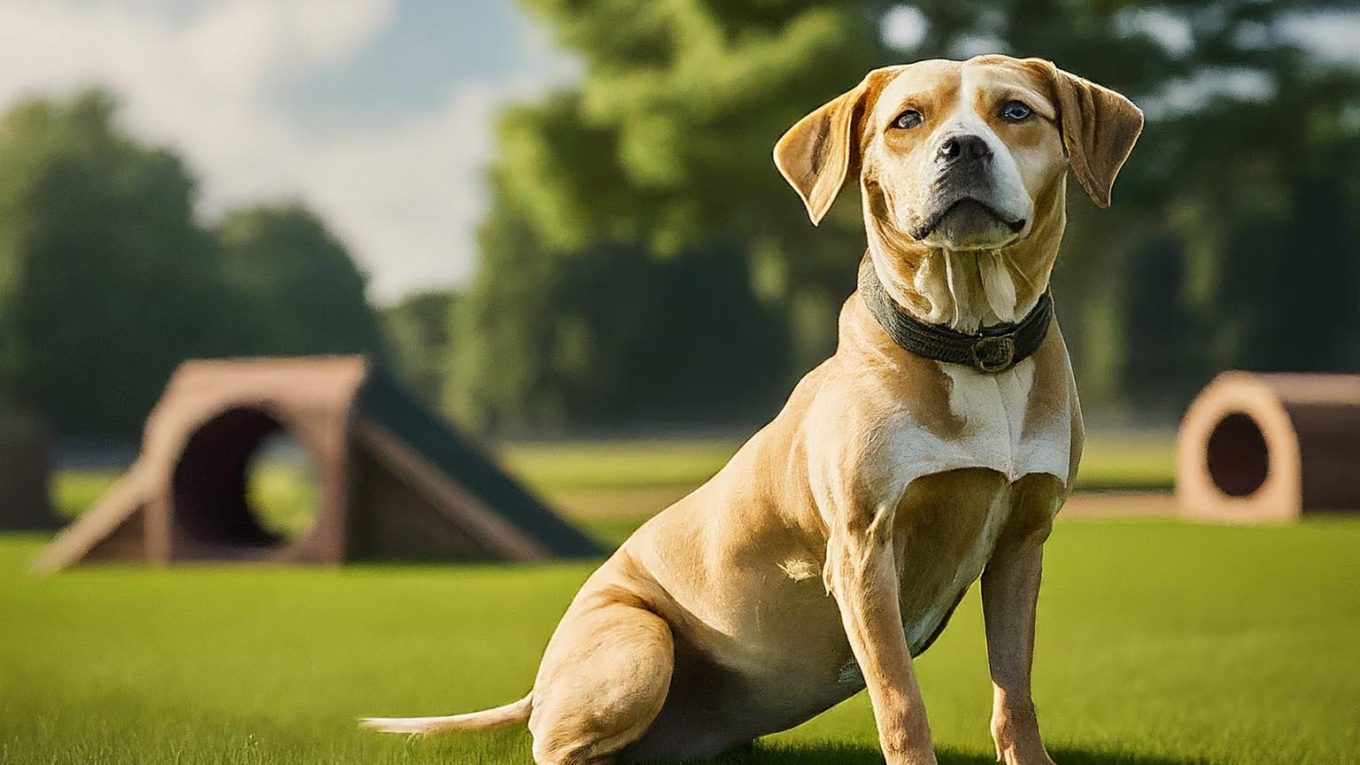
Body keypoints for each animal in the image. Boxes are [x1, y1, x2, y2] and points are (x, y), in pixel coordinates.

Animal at [361, 55, 1136, 762]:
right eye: (907, 120)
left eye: (1015, 111)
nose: (964, 148)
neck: (972, 343)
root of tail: (541, 682)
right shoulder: (863, 550)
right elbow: (901, 698)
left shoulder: (1021, 542)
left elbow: (1014, 691)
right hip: (638, 651)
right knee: (556, 744)